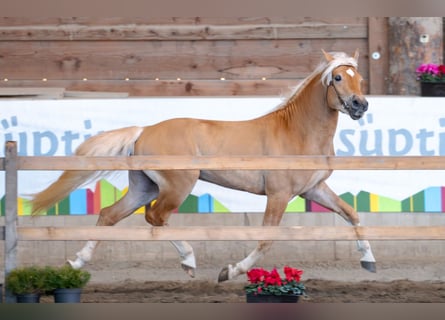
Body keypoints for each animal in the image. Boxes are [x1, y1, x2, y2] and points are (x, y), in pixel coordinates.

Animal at [30, 48, 374, 282]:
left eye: (361, 78)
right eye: (338, 77)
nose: (360, 105)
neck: (297, 132)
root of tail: (144, 130)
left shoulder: (313, 189)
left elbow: (353, 215)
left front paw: (368, 261)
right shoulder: (279, 195)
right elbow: (266, 238)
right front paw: (230, 271)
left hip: (145, 187)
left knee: (109, 215)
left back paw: (77, 262)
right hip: (178, 186)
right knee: (155, 217)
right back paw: (189, 260)